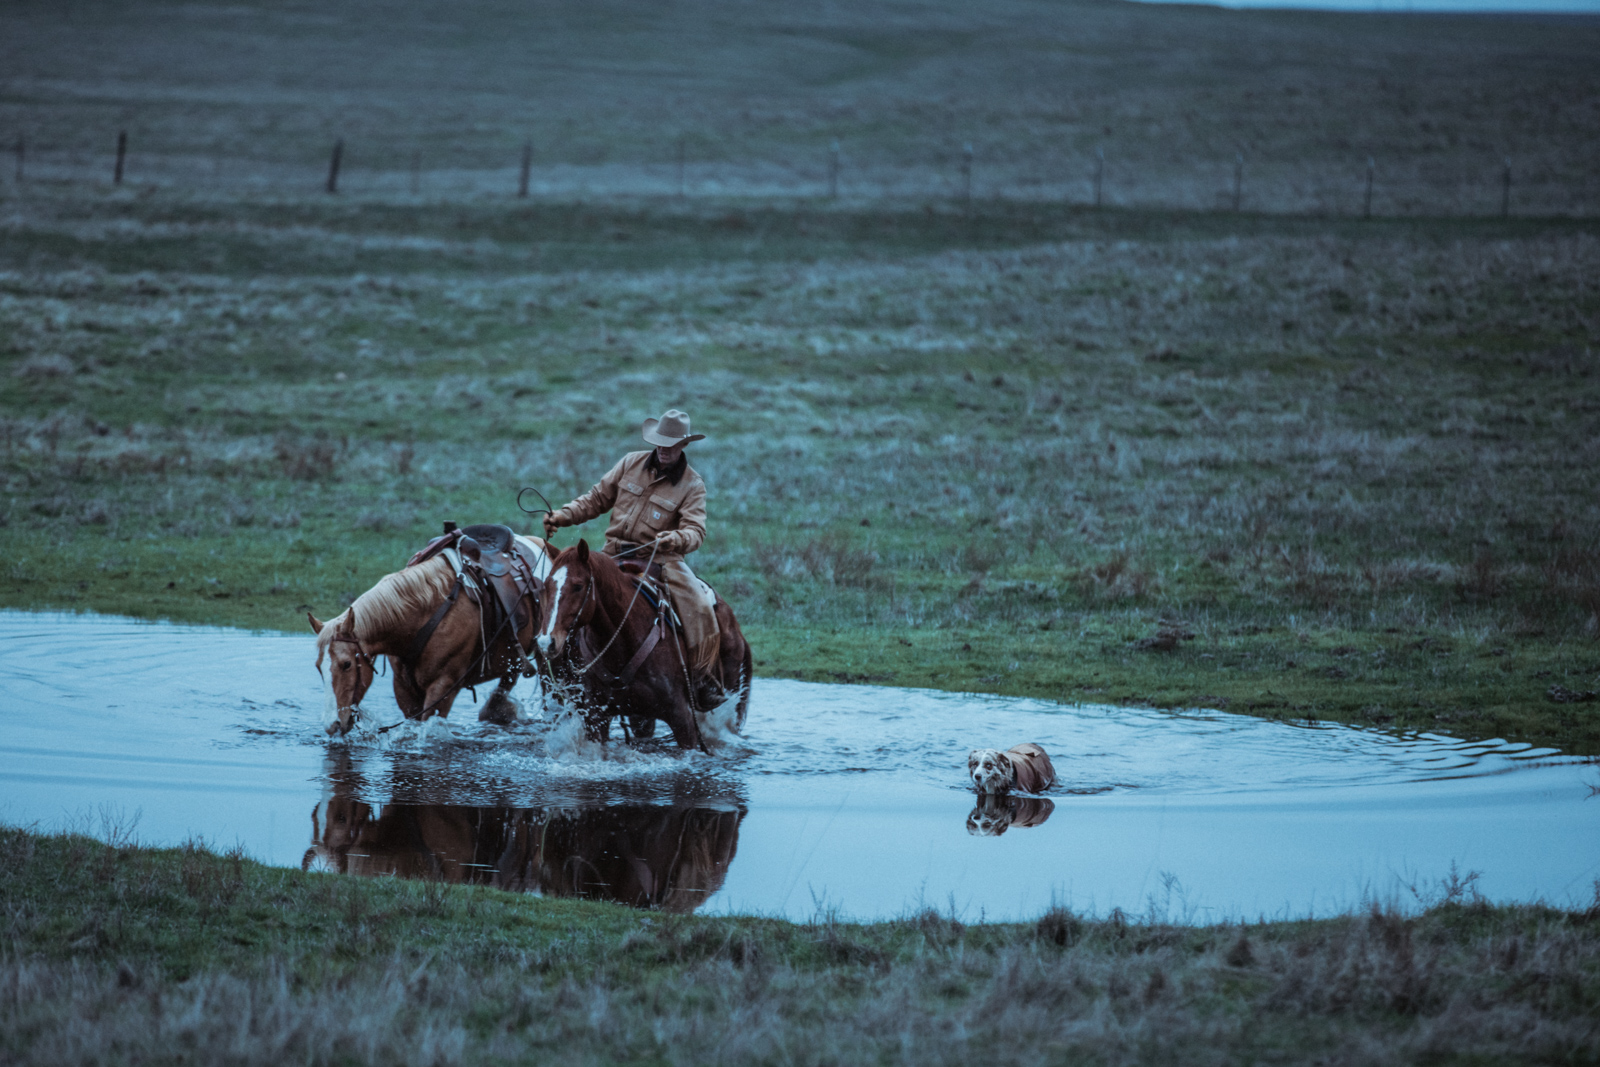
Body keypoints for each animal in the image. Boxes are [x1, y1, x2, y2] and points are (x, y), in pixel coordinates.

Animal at [308, 531, 553, 739]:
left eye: (346, 664)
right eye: (318, 667)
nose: (331, 725)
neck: (423, 615)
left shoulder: (443, 687)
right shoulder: (403, 688)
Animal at [534, 543, 752, 751]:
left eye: (578, 586)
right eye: (546, 586)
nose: (546, 642)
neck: (621, 646)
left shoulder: (682, 717)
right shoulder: (596, 718)